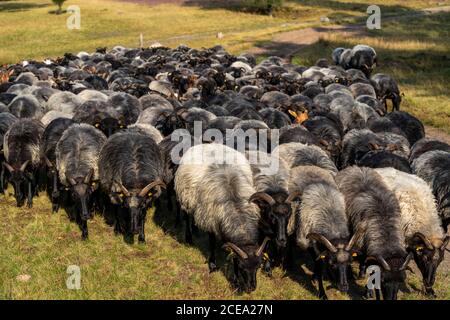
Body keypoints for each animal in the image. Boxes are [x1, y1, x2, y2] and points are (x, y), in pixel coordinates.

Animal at [174, 143, 268, 292]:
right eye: (242, 267)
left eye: (258, 266)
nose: (252, 288)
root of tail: (206, 143)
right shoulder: (211, 221)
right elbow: (212, 243)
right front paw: (213, 265)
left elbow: (233, 255)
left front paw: (236, 281)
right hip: (185, 198)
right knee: (187, 216)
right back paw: (189, 237)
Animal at [288, 166, 362, 298]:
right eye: (332, 264)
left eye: (350, 263)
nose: (344, 287)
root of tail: (304, 165)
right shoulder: (310, 243)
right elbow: (318, 266)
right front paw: (322, 292)